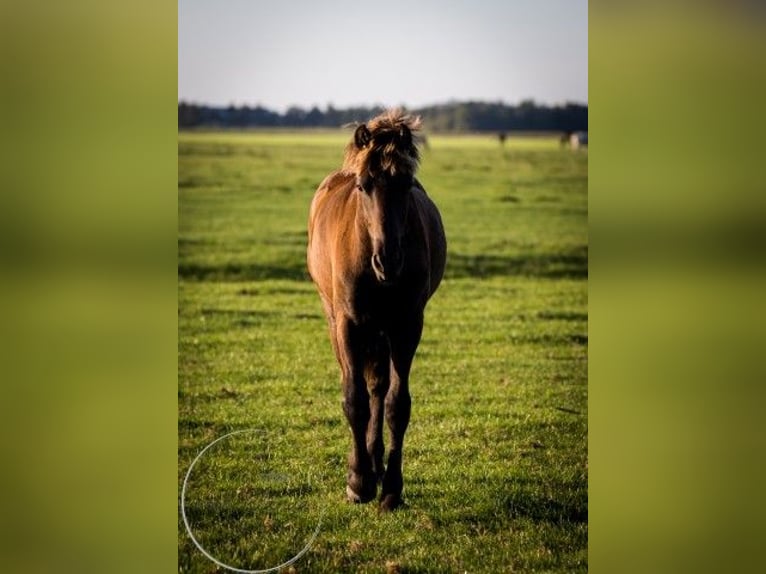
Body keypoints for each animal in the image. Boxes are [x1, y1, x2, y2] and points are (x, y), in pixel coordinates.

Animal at [308, 109, 448, 512]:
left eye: (406, 184)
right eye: (364, 186)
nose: (388, 261)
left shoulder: (407, 325)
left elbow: (395, 404)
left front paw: (391, 489)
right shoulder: (350, 324)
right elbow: (354, 400)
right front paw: (358, 482)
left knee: (378, 388)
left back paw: (376, 462)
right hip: (337, 321)